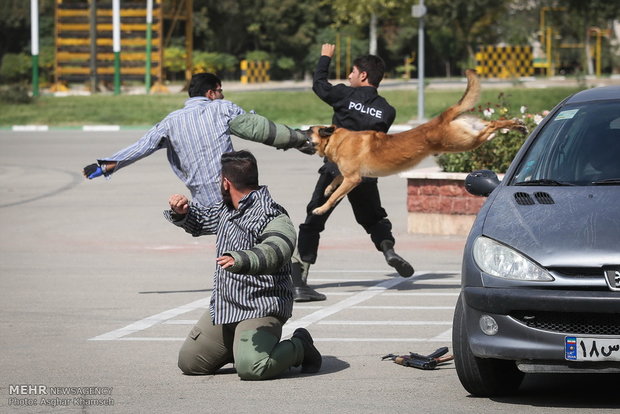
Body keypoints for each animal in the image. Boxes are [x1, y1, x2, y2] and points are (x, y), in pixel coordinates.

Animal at [308, 68, 524, 215]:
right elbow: (336, 180)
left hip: (463, 142)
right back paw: (515, 124)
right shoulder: (350, 176)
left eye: (308, 130)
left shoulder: (353, 179)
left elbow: (335, 195)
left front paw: (321, 208)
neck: (337, 138)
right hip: (469, 133)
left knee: (489, 130)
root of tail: (442, 117)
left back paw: (504, 130)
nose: (300, 131)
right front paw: (328, 187)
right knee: (494, 122)